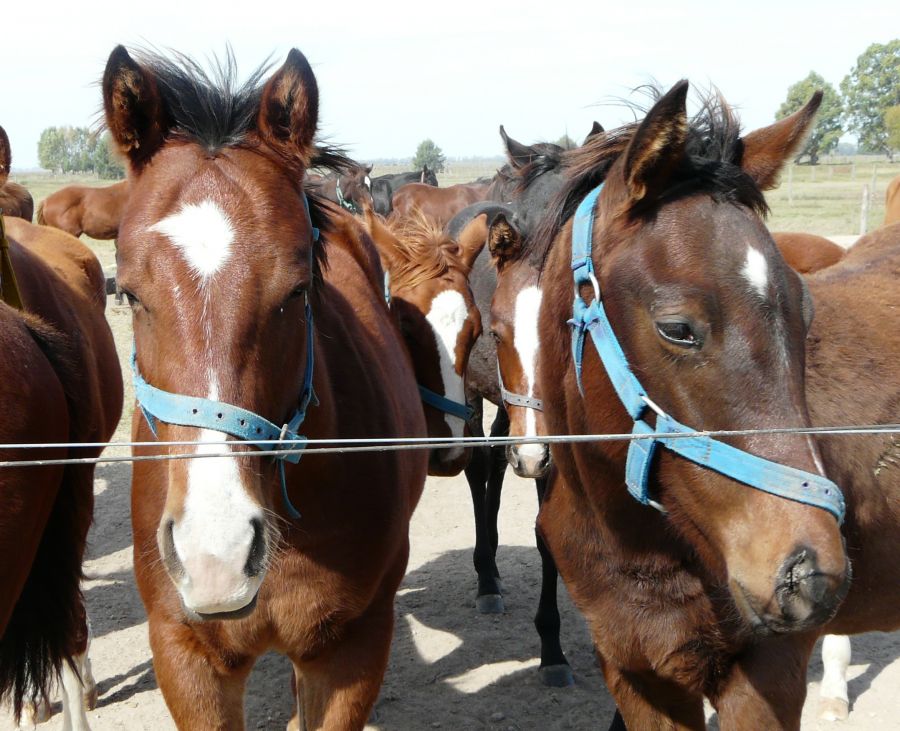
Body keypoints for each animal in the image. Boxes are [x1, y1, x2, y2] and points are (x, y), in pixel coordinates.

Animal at [532, 83, 860, 728]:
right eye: (678, 328)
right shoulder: (636, 676)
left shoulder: (768, 677)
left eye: (805, 311)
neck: (641, 554)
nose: (811, 576)